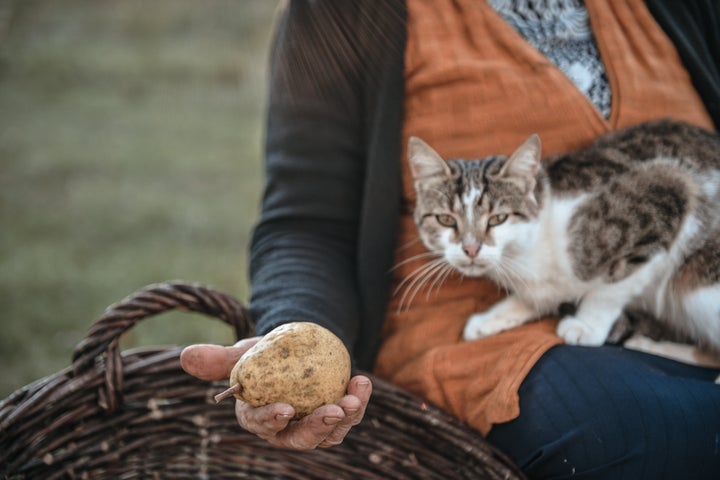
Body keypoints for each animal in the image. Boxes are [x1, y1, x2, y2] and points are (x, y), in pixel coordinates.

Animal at [408, 120, 720, 352]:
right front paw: (491, 318)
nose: (471, 249)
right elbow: (538, 297)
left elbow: (611, 288)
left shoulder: (670, 188)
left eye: (498, 218)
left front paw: (587, 327)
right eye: (446, 219)